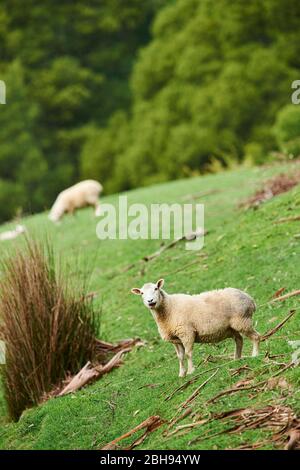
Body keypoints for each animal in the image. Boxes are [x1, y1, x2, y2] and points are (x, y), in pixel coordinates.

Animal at [131, 280, 260, 378]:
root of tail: (250, 299)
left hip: (242, 320)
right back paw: (236, 359)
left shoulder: (186, 333)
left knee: (256, 337)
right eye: (141, 293)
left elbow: (188, 354)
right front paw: (181, 374)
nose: (150, 301)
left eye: (156, 288)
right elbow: (180, 356)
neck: (169, 310)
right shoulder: (175, 339)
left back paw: (255, 355)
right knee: (239, 340)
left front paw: (191, 371)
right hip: (231, 327)